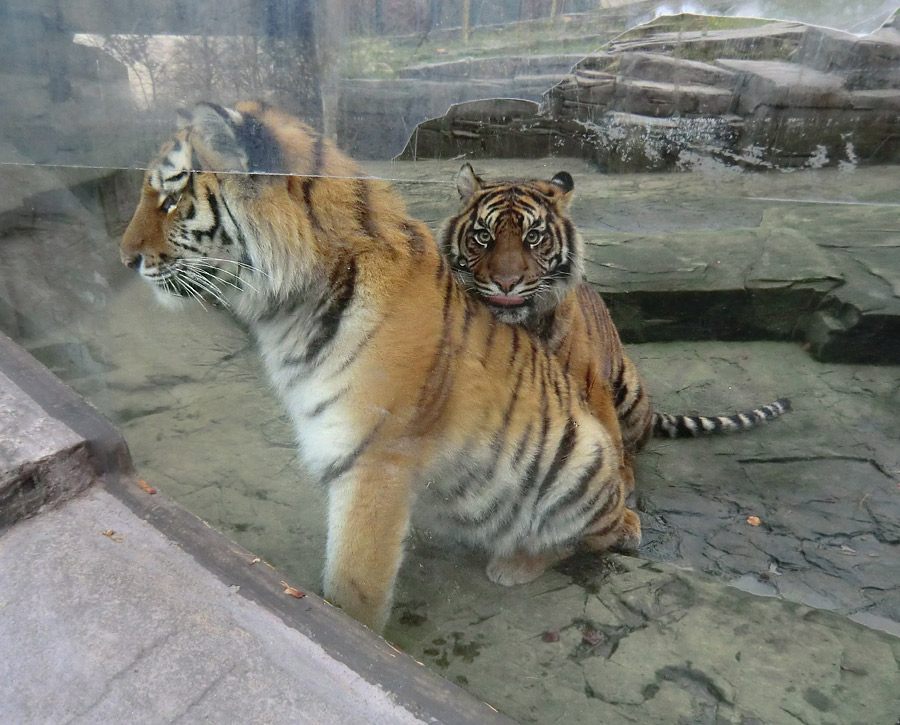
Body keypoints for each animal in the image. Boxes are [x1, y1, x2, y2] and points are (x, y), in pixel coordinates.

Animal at [121, 102, 640, 632]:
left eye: (170, 200)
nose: (126, 259)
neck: (288, 306)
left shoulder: (376, 456)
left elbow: (355, 584)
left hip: (584, 455)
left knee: (611, 529)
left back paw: (514, 563)